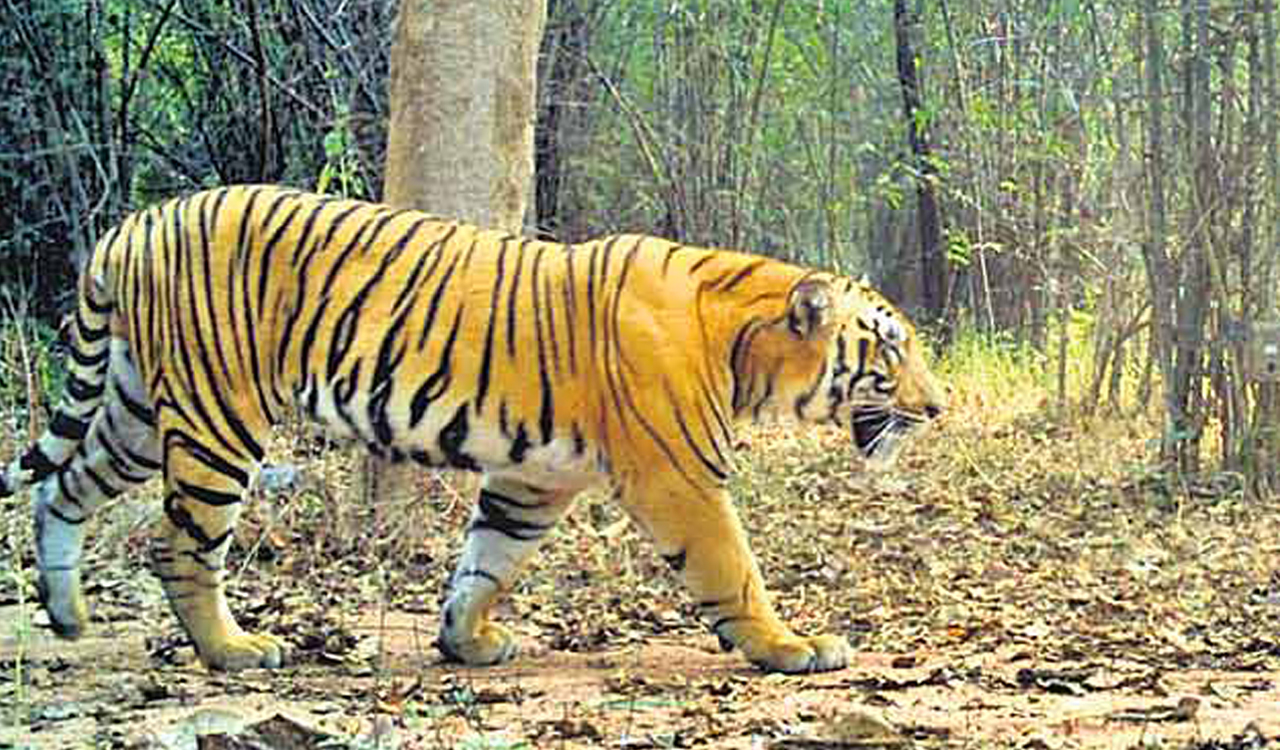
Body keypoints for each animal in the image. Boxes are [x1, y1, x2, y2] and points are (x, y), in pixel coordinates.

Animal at [1, 185, 946, 674]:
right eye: (890, 348)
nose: (937, 409)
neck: (744, 344)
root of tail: (135, 222)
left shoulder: (535, 477)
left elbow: (487, 561)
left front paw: (466, 641)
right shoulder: (678, 475)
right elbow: (734, 569)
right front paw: (791, 646)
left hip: (134, 408)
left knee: (62, 488)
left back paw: (66, 612)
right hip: (217, 415)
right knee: (178, 545)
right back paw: (234, 650)